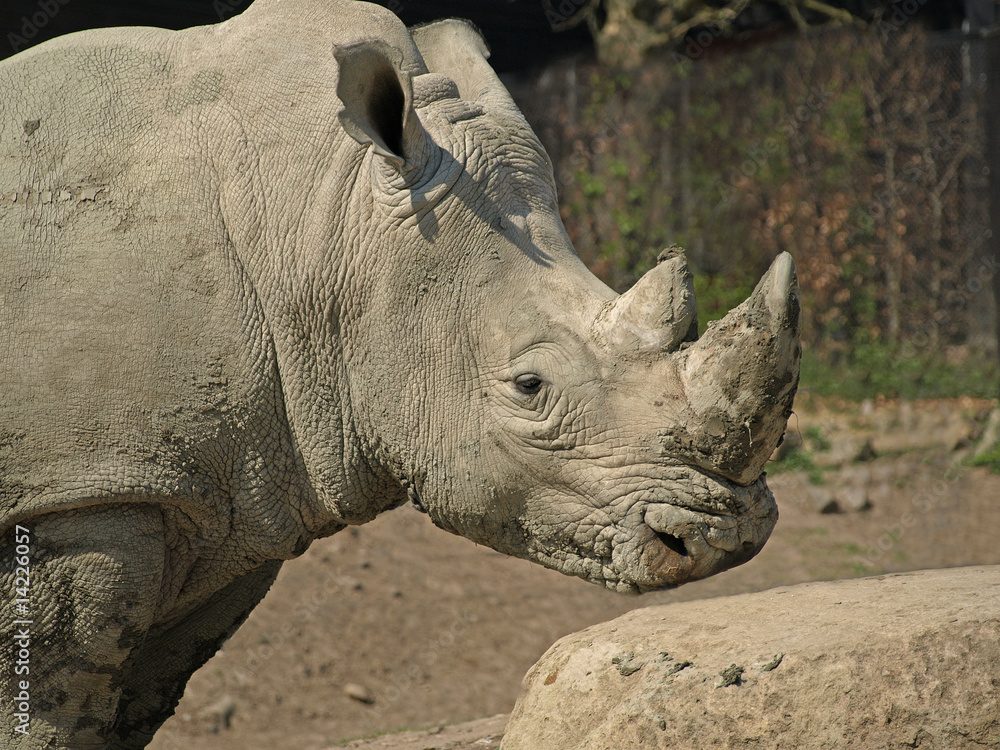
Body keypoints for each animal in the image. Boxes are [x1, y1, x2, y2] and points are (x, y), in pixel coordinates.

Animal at [0, 0, 800, 747]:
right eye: (530, 387)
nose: (729, 538)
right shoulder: (83, 489)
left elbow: (131, 704)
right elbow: (49, 703)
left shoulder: (218, 494)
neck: (319, 225)